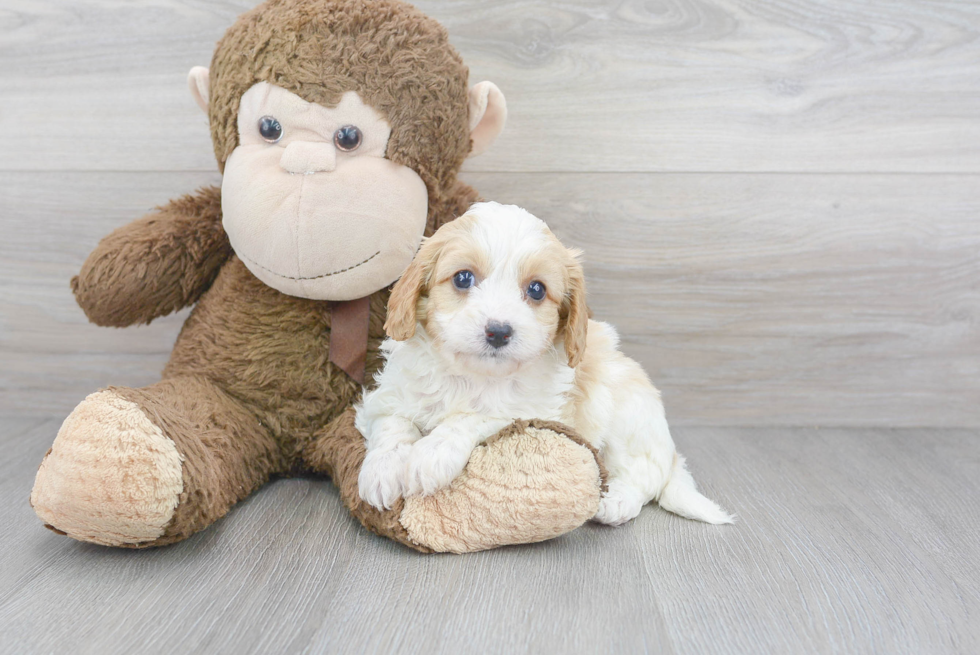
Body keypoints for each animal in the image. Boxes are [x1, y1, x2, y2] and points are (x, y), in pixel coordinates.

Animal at [356, 202, 732, 524]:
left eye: (537, 289)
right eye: (463, 278)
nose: (498, 331)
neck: (471, 376)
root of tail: (670, 452)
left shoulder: (531, 411)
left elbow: (474, 416)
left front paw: (431, 453)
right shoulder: (386, 397)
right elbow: (392, 424)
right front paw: (382, 471)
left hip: (628, 415)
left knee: (646, 475)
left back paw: (617, 500)